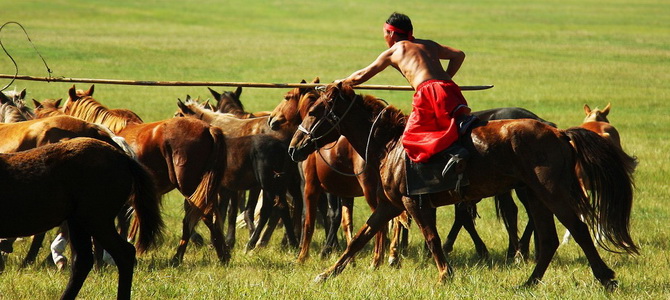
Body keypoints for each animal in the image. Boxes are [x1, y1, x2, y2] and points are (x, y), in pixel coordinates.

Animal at [53, 85, 231, 264]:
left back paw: (190, 256)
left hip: (191, 187)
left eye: (66, 108)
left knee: (202, 216)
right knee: (208, 217)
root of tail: (209, 128)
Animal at [288, 83, 640, 290]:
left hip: (551, 192)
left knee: (577, 229)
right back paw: (528, 283)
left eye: (316, 111)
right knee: (549, 240)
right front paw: (327, 273)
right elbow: (361, 237)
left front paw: (445, 275)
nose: (294, 148)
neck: (391, 143)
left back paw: (606, 278)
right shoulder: (391, 205)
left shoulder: (413, 203)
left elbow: (431, 239)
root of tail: (558, 132)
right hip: (533, 194)